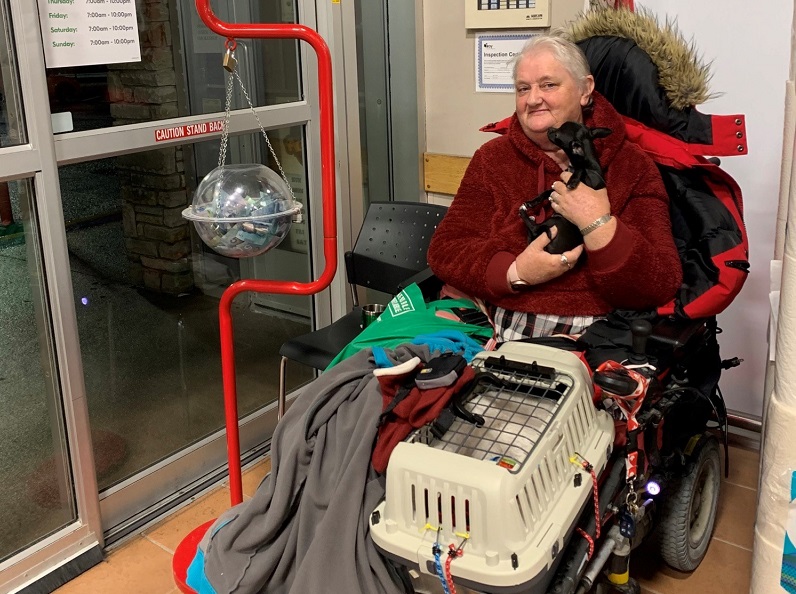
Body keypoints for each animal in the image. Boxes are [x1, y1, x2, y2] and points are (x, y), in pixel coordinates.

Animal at [520, 123, 612, 253]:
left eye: (557, 135)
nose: (549, 129)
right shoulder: (557, 186)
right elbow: (545, 192)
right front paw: (532, 202)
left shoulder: (592, 181)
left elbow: (581, 168)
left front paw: (572, 181)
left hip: (553, 223)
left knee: (535, 227)